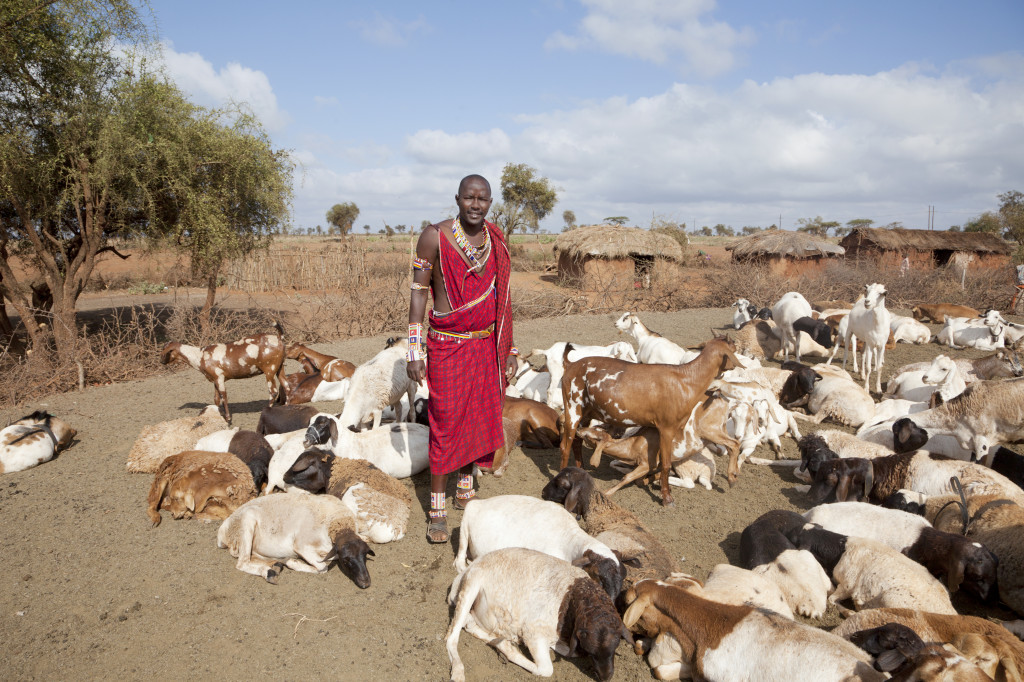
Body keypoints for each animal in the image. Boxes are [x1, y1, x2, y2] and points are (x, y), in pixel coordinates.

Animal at [159, 321, 288, 421]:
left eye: (166, 351)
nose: (161, 362)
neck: (200, 356)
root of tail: (279, 338)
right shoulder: (214, 380)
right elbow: (216, 399)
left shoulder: (219, 377)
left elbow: (224, 396)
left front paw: (228, 418)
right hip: (279, 367)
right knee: (286, 386)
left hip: (269, 369)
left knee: (273, 391)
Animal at [216, 489, 372, 585]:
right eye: (346, 560)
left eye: (364, 555)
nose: (366, 583)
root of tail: (223, 533)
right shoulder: (301, 545)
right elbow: (323, 567)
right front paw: (294, 563)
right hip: (247, 522)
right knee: (242, 563)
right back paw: (268, 572)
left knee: (252, 558)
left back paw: (276, 566)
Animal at [561, 333, 745, 503]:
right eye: (733, 346)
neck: (687, 380)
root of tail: (571, 365)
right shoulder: (666, 427)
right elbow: (665, 463)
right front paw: (667, 498)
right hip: (572, 407)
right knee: (565, 445)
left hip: (587, 413)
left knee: (576, 441)